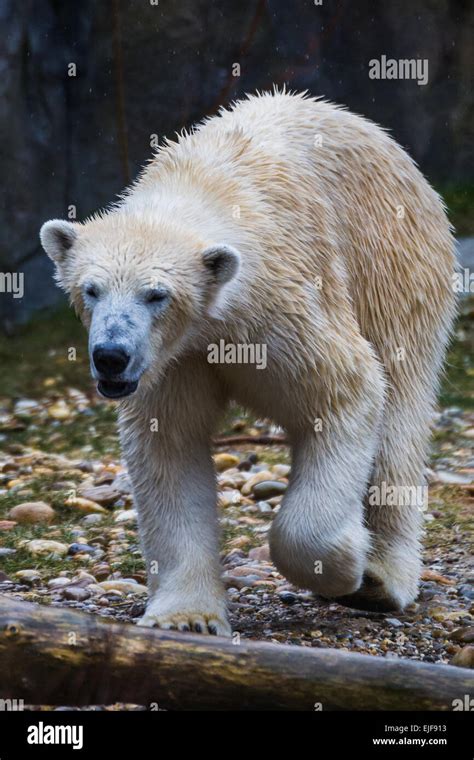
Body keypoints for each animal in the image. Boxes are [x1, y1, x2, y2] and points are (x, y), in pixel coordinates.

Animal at [40, 89, 456, 636]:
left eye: (156, 295)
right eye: (91, 289)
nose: (111, 356)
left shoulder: (279, 309)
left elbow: (346, 391)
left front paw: (343, 566)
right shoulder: (174, 361)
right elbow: (170, 446)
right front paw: (185, 617)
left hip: (394, 267)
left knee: (399, 416)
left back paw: (381, 580)